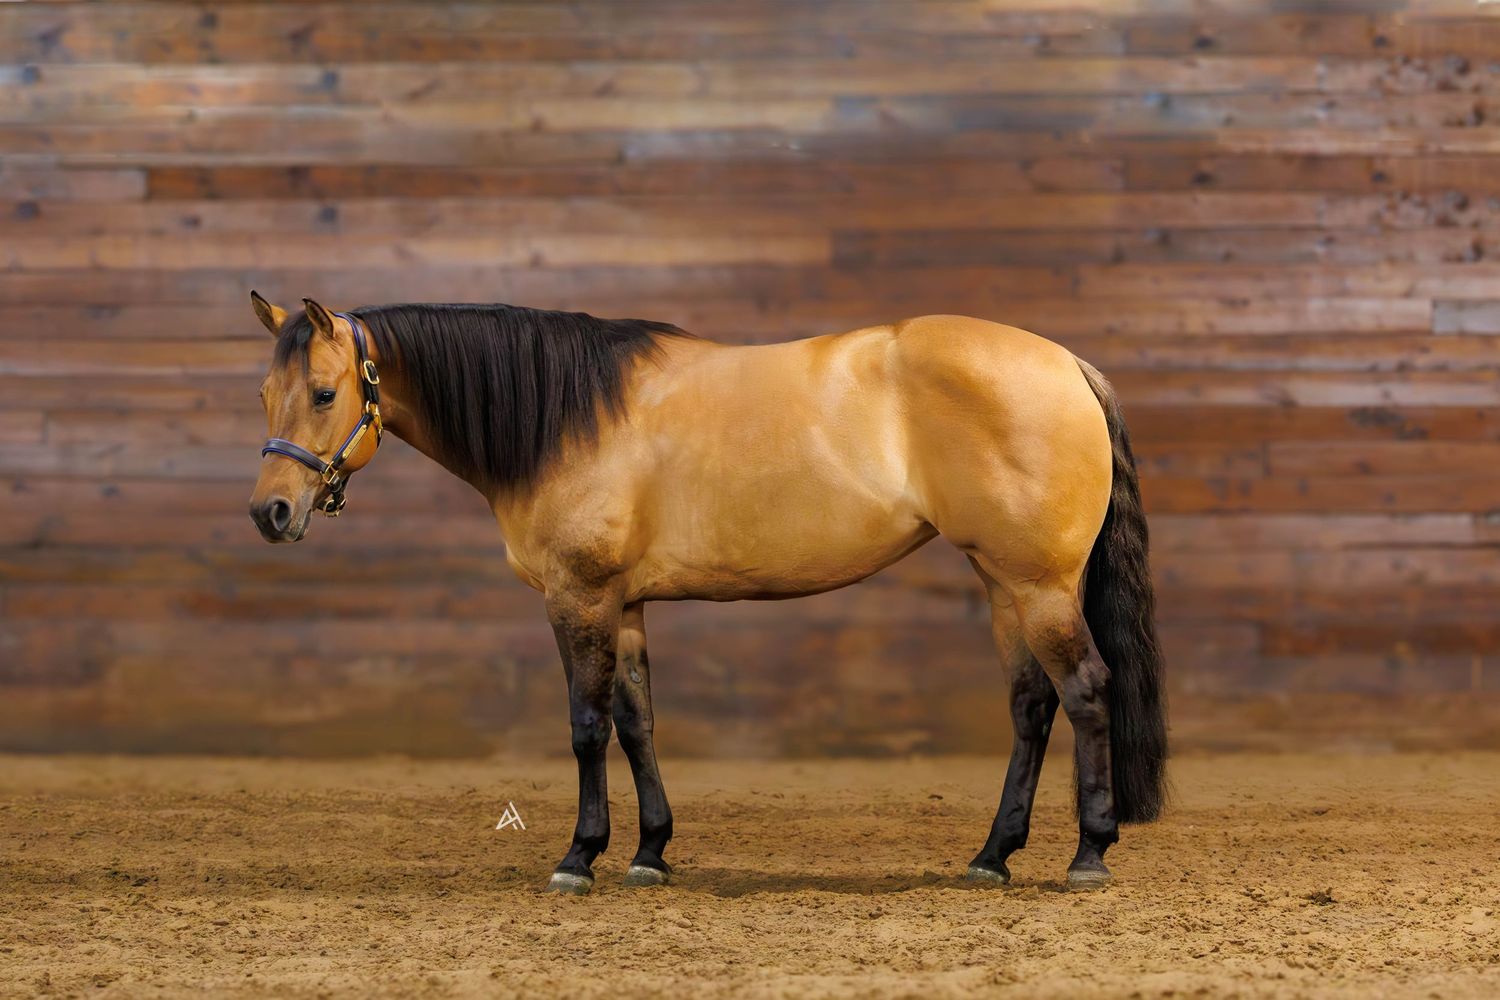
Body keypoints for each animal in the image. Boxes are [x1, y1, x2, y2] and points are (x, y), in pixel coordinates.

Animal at [247, 293, 1168, 894]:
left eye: (325, 393)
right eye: (265, 393)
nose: (271, 512)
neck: (567, 416)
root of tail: (1068, 364)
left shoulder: (577, 597)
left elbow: (586, 727)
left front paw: (579, 859)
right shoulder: (623, 604)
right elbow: (637, 721)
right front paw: (649, 853)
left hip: (1038, 585)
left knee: (1086, 691)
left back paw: (1089, 855)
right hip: (1001, 583)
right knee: (1031, 705)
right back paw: (991, 857)